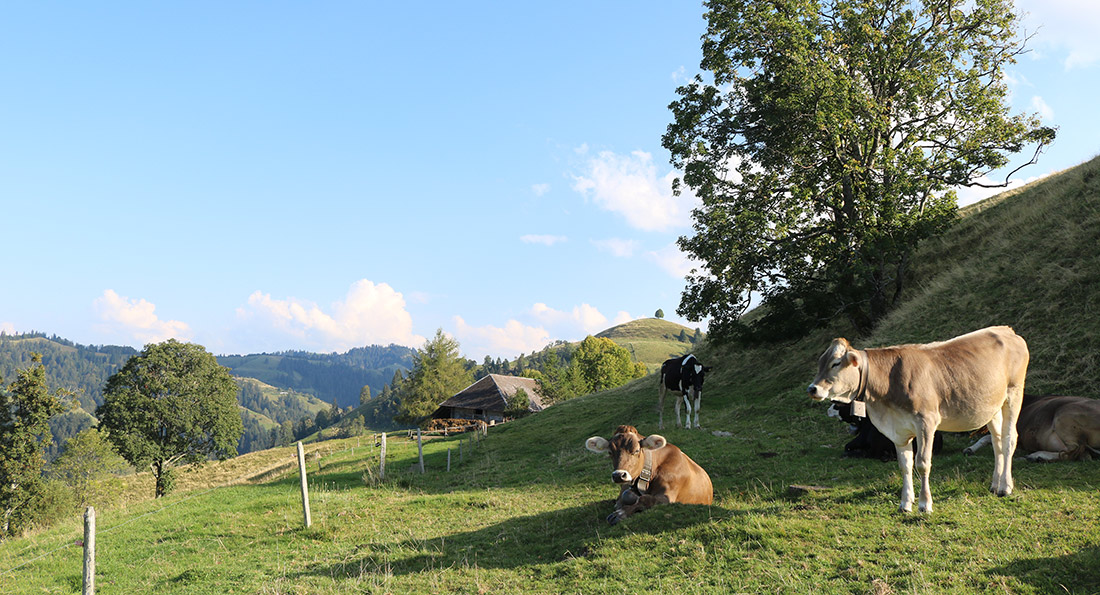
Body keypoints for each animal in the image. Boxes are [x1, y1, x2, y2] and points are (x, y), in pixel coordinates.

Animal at [585, 425, 713, 525]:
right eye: (610, 452)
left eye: (636, 450)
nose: (618, 475)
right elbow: (624, 497)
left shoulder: (668, 497)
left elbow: (644, 499)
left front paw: (620, 513)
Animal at [807, 326, 1029, 513]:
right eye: (819, 362)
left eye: (836, 363)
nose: (812, 388)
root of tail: (1006, 330)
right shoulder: (898, 430)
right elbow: (904, 465)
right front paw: (905, 503)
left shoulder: (926, 423)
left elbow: (922, 463)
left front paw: (924, 504)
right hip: (992, 407)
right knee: (997, 442)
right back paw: (995, 484)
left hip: (1013, 394)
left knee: (1009, 439)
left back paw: (1006, 487)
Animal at [963, 394, 1100, 462]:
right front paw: (969, 449)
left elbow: (987, 438)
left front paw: (970, 449)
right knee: (1082, 454)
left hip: (1064, 415)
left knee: (1072, 451)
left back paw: (1035, 456)